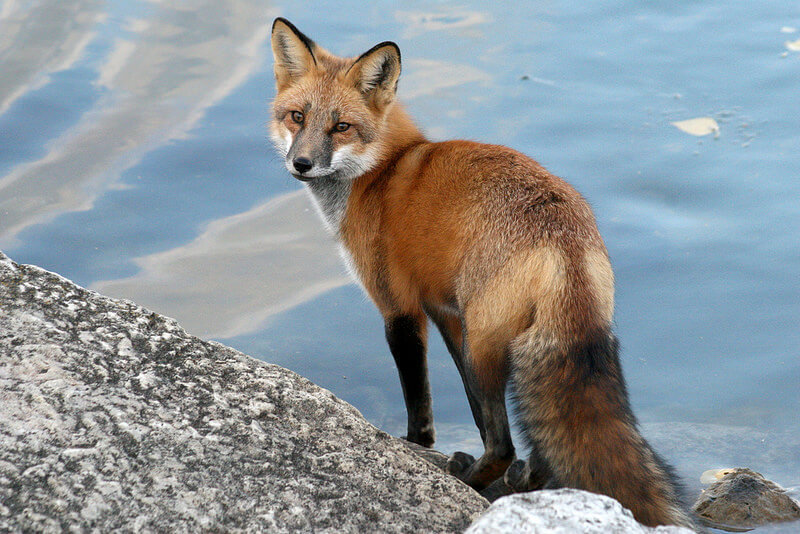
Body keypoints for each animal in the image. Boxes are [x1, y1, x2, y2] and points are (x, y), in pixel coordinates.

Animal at [270, 17, 692, 532]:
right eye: (297, 117)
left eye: (341, 127)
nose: (301, 164)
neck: (380, 173)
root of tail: (562, 242)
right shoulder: (446, 313)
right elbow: (470, 407)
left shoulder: (400, 308)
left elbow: (421, 406)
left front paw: (416, 449)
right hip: (499, 341)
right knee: (537, 448)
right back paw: (521, 485)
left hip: (487, 345)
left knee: (504, 443)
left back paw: (473, 478)